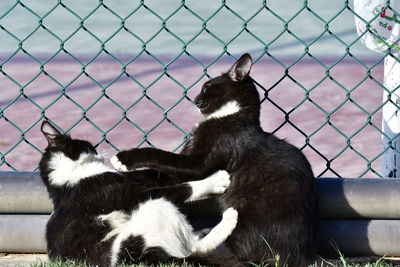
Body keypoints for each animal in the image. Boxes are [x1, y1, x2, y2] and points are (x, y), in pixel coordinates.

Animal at [38, 121, 238, 267]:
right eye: (89, 146)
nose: (98, 151)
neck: (68, 178)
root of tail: (148, 257)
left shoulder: (132, 179)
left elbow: (153, 174)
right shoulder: (130, 195)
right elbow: (181, 188)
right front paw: (215, 181)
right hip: (155, 207)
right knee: (196, 247)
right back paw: (229, 219)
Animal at [111, 54, 318, 267]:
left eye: (207, 87)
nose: (195, 99)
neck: (230, 115)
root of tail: (303, 257)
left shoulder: (196, 164)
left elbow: (159, 155)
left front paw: (124, 159)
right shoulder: (180, 169)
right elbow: (155, 173)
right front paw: (125, 176)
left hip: (244, 217)